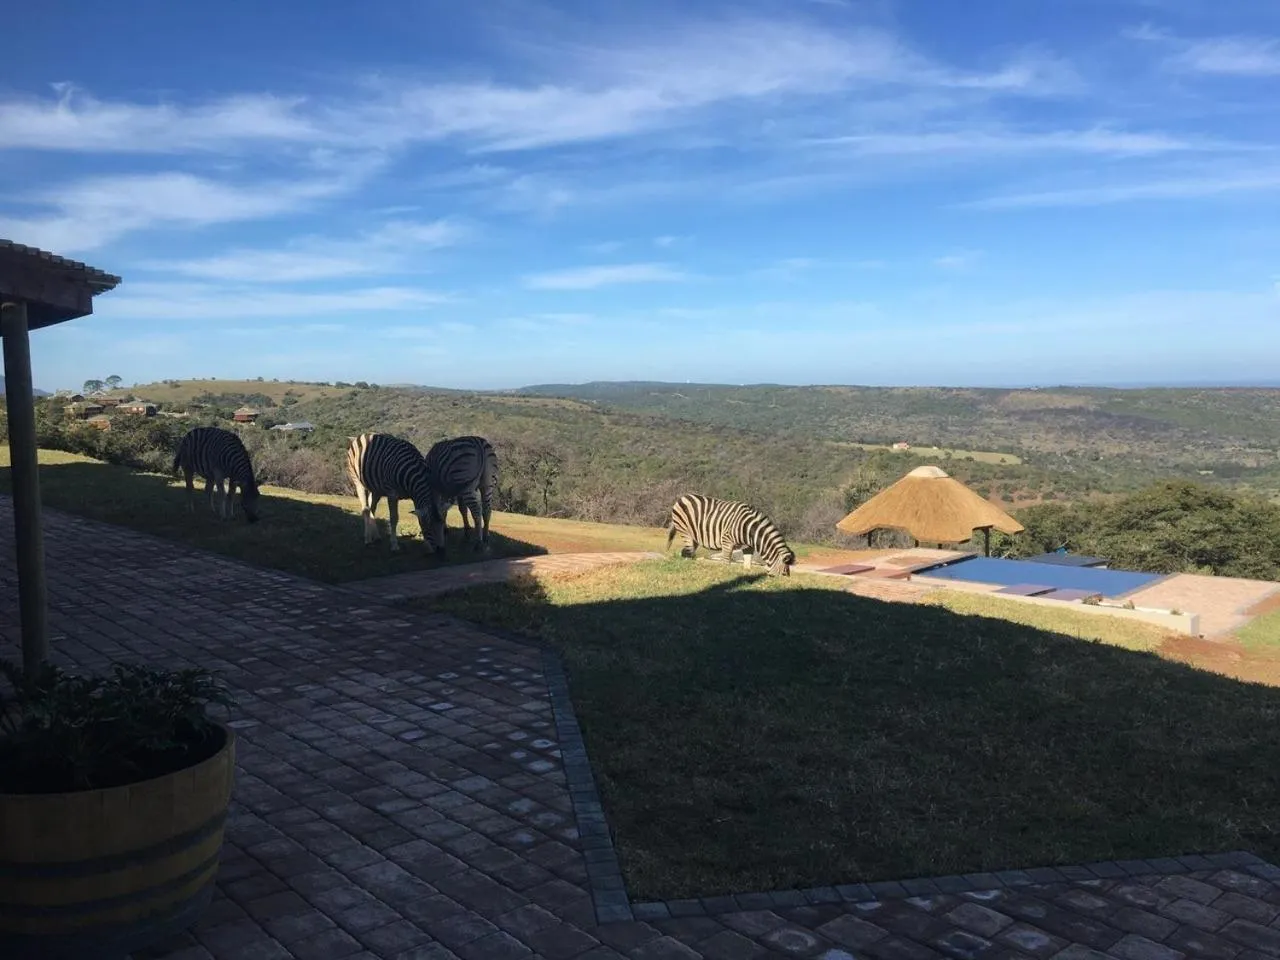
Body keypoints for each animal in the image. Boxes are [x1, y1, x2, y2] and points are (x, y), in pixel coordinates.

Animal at [666, 494, 795, 577]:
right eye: (784, 573)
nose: (785, 580)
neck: (749, 530)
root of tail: (683, 497)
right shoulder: (727, 540)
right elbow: (726, 562)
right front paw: (724, 575)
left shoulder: (748, 547)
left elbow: (747, 564)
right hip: (685, 530)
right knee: (688, 551)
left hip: (695, 536)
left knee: (687, 552)